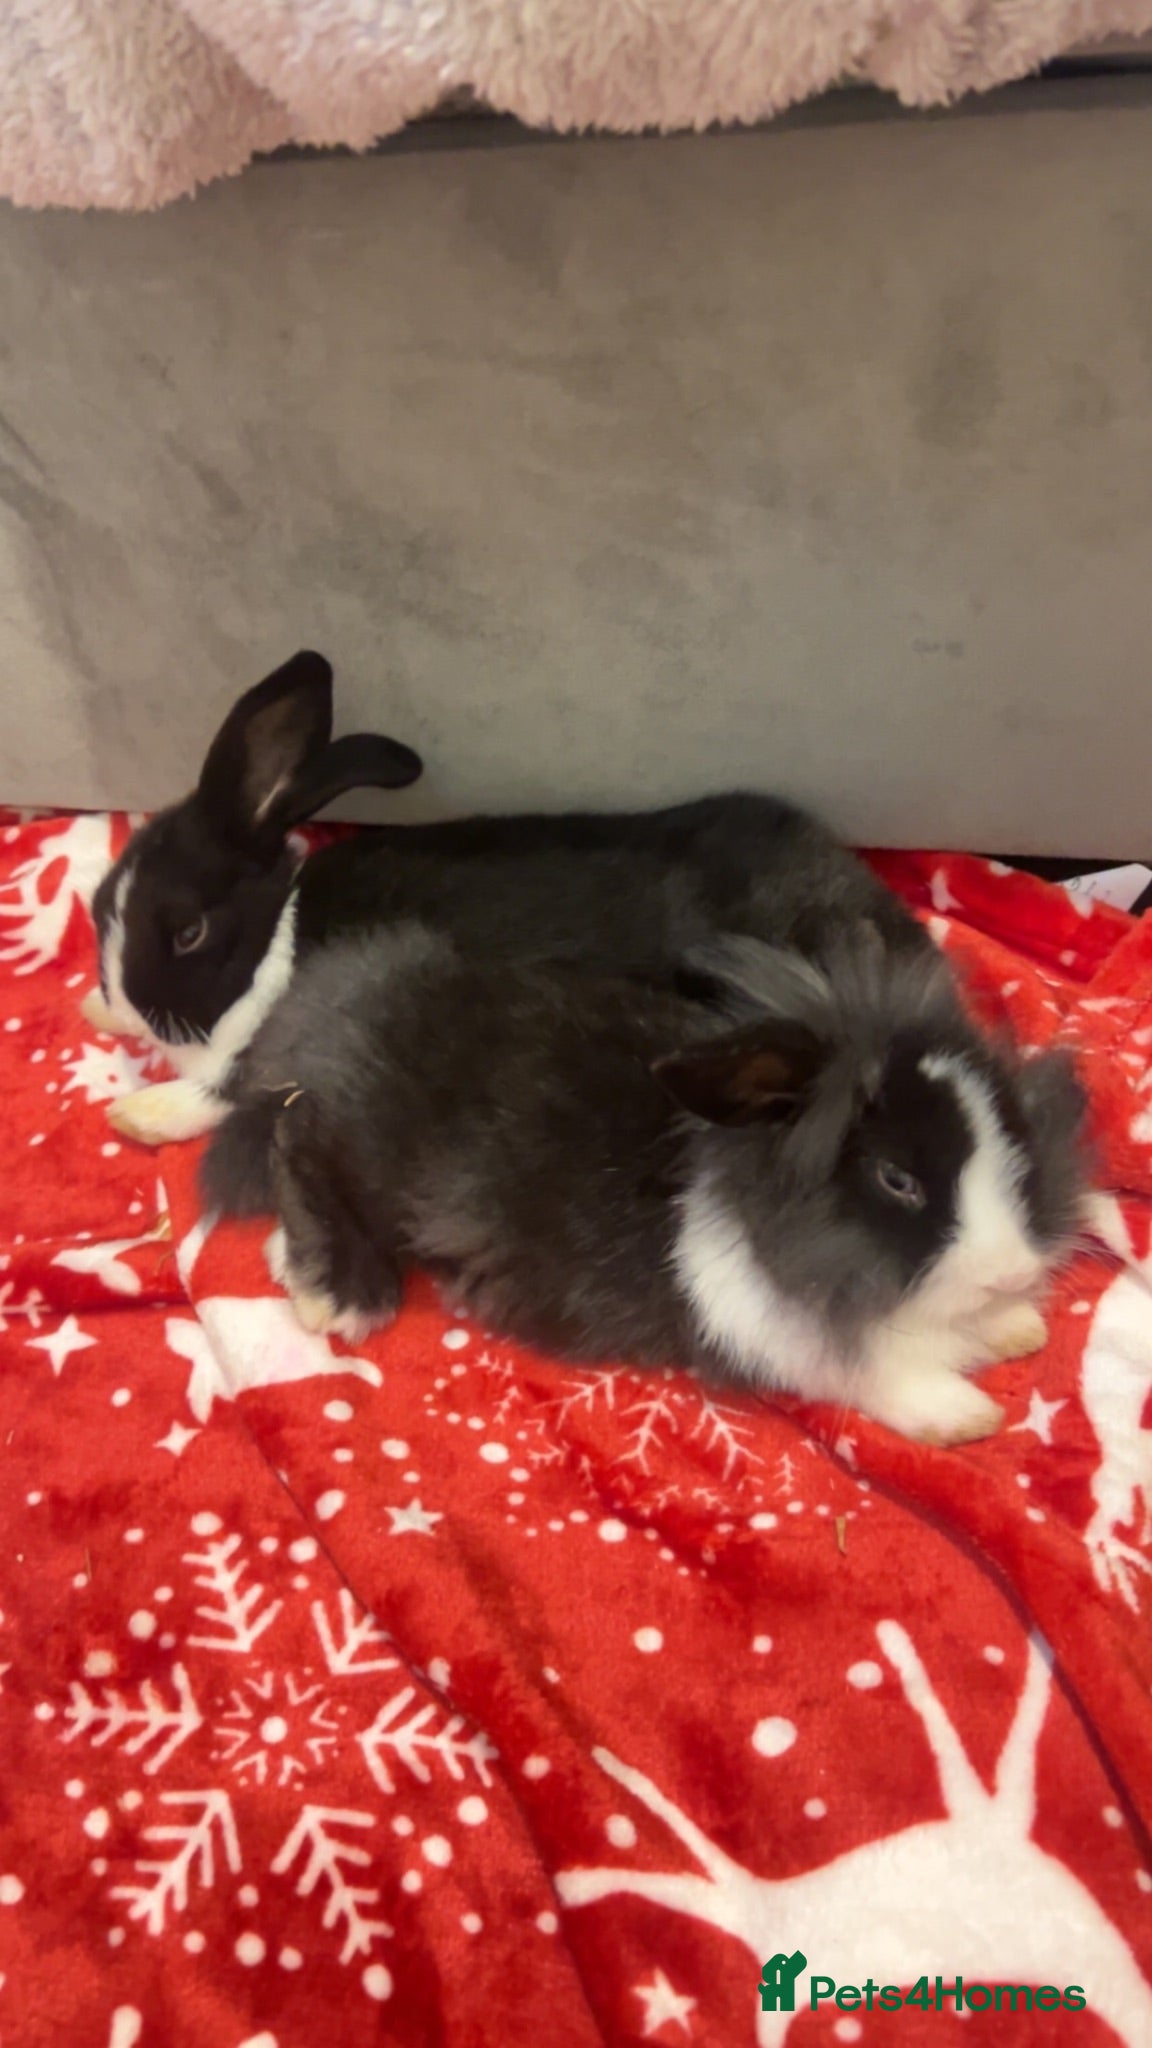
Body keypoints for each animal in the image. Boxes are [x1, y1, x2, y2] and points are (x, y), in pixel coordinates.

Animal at [88, 647, 933, 1151]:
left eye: (189, 932)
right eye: (99, 907)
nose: (132, 1005)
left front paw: (139, 1114)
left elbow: (222, 1087)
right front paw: (102, 1014)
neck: (279, 937)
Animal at [200, 920, 1089, 1447]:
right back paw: (342, 1290)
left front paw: (1015, 1327)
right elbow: (868, 1374)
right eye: (897, 1178)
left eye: (1012, 1135)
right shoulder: (775, 1328)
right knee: (295, 1141)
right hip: (359, 1147)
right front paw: (963, 1415)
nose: (1013, 1271)